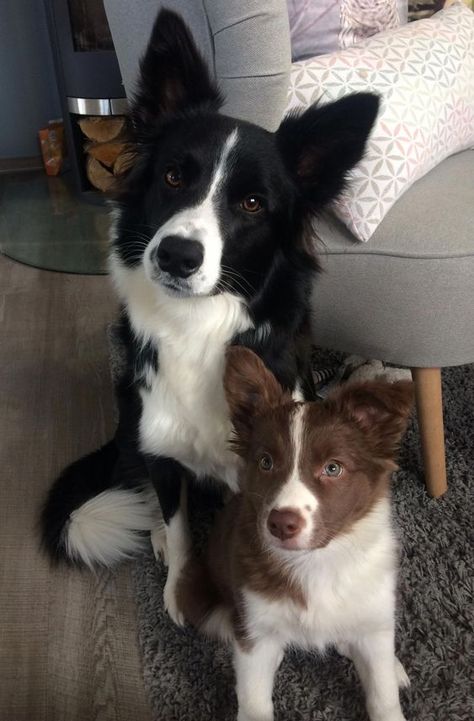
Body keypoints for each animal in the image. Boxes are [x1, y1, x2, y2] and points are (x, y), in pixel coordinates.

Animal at [178, 346, 412, 716]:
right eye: (265, 462)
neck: (317, 561)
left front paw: (388, 680)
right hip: (199, 595)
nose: (280, 524)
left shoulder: (375, 620)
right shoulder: (255, 634)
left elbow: (383, 696)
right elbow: (254, 701)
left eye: (333, 468)